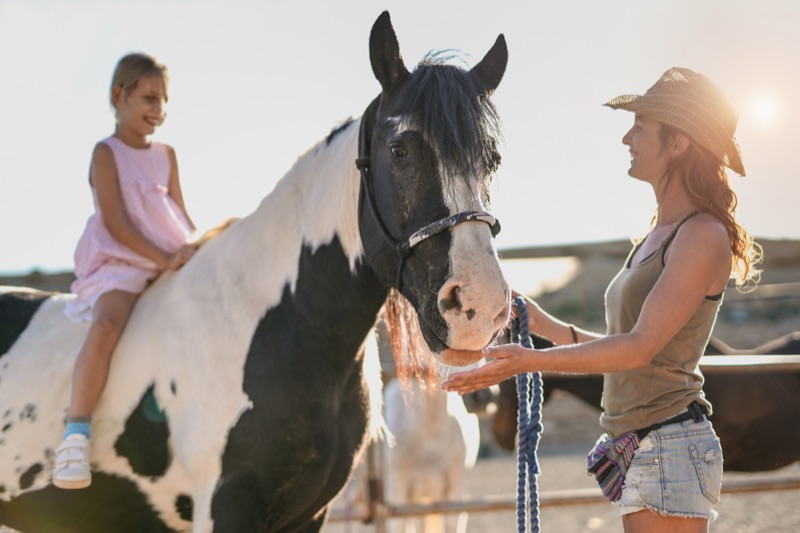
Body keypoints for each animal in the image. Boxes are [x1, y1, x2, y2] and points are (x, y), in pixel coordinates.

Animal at [0, 12, 510, 532]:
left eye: (492, 159)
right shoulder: (226, 506)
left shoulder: (309, 514)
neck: (277, 328)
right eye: (399, 150)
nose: (479, 305)